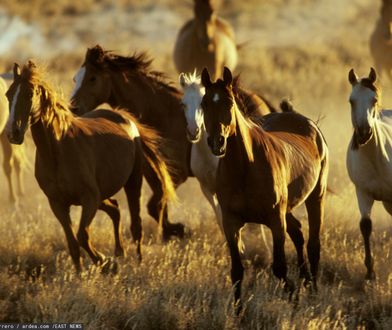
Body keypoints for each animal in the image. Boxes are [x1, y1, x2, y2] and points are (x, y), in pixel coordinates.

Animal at [4, 60, 175, 272]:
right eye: (8, 94)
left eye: (30, 94)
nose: (13, 133)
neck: (57, 152)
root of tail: (124, 118)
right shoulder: (58, 204)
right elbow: (73, 244)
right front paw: (82, 274)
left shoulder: (89, 198)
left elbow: (82, 236)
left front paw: (105, 263)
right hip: (102, 194)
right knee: (115, 209)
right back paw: (119, 253)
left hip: (132, 183)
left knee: (136, 225)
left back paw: (137, 262)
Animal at [70, 44, 190, 240]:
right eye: (75, 78)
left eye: (92, 78)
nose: (73, 107)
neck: (167, 113)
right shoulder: (153, 172)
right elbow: (157, 205)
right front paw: (172, 231)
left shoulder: (177, 172)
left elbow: (157, 204)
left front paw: (176, 230)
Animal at [178, 71, 274, 258]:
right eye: (183, 104)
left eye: (201, 103)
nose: (193, 132)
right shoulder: (207, 189)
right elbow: (220, 218)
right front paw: (238, 246)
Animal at [201, 66, 330, 312]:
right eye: (204, 104)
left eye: (229, 103)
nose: (216, 143)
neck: (246, 167)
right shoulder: (231, 223)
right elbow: (236, 271)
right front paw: (238, 311)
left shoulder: (275, 220)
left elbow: (279, 267)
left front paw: (293, 297)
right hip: (288, 208)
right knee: (298, 234)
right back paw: (306, 281)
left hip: (315, 197)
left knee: (313, 245)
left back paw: (314, 292)